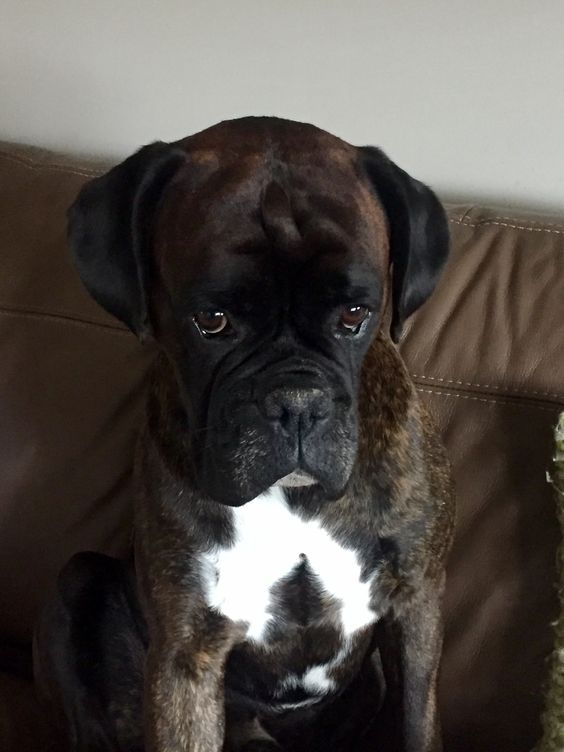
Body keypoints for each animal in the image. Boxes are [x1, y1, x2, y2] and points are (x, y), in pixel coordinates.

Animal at [34, 117, 454, 752]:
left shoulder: (417, 609)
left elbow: (416, 725)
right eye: (212, 321)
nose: (297, 403)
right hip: (77, 582)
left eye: (356, 314)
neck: (296, 500)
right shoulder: (188, 656)